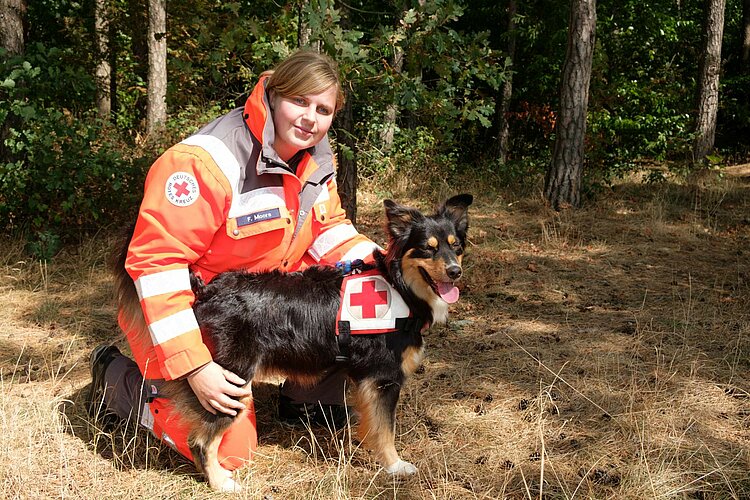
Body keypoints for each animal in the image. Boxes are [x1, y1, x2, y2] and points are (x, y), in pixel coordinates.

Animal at [115, 193, 472, 490]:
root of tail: (208, 290)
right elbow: (386, 431)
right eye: (427, 247)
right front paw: (395, 466)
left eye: (455, 246)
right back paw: (221, 483)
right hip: (229, 386)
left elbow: (373, 425)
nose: (455, 272)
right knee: (200, 442)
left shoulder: (368, 384)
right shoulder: (384, 380)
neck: (401, 287)